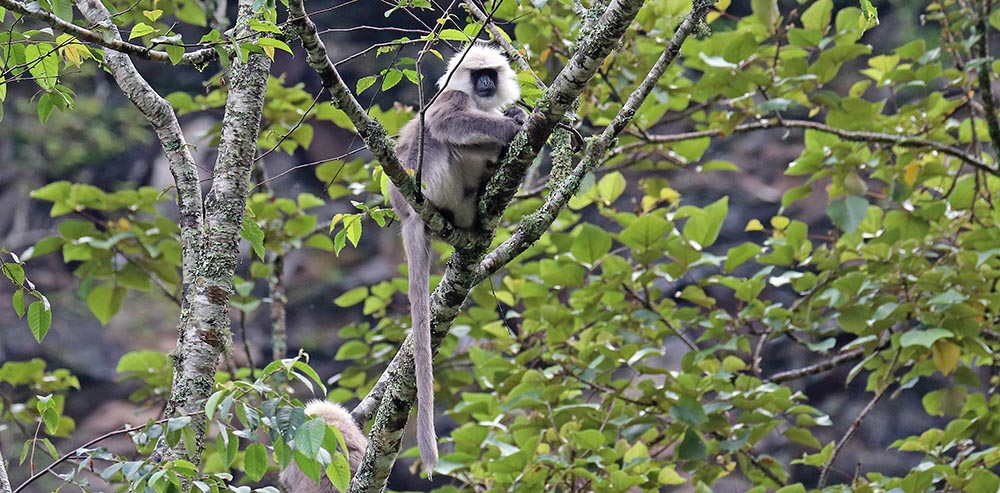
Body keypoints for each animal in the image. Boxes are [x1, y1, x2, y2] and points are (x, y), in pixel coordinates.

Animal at [386, 44, 528, 474]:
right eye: (476, 74)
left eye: (490, 74)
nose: (484, 85)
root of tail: (408, 212)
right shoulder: (451, 98)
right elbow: (448, 123)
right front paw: (515, 124)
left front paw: (515, 115)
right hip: (437, 180)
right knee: (443, 138)